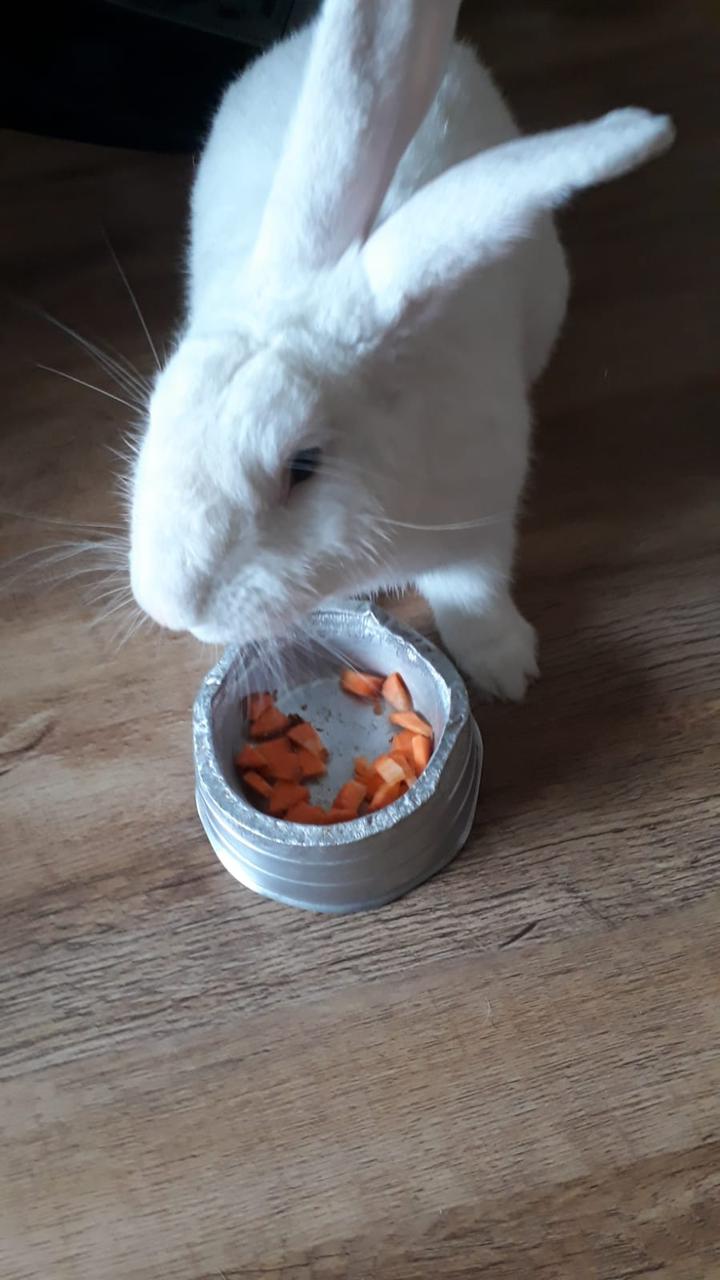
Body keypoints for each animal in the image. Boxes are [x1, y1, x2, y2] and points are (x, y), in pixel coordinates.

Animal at [128, 0, 671, 701]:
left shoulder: (482, 522)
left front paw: (507, 670)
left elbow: (473, 594)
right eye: (157, 410)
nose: (169, 604)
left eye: (304, 465)